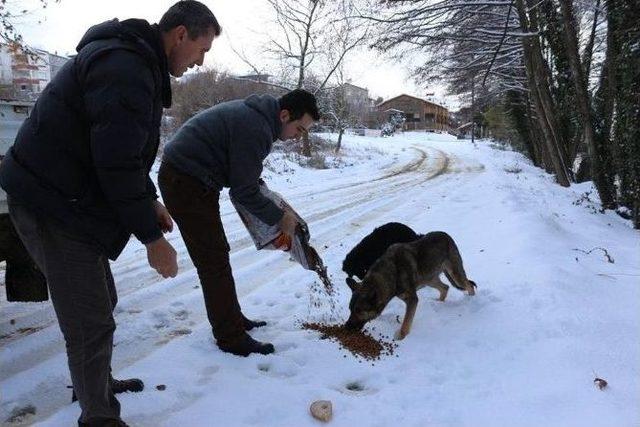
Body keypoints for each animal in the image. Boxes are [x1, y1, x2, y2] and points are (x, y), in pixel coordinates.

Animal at [344, 232, 476, 340]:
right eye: (350, 310)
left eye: (359, 311)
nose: (346, 327)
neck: (391, 273)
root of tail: (446, 235)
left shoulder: (412, 300)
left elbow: (406, 322)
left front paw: (401, 336)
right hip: (428, 279)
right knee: (445, 287)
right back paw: (439, 302)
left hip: (455, 275)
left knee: (469, 285)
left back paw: (472, 300)